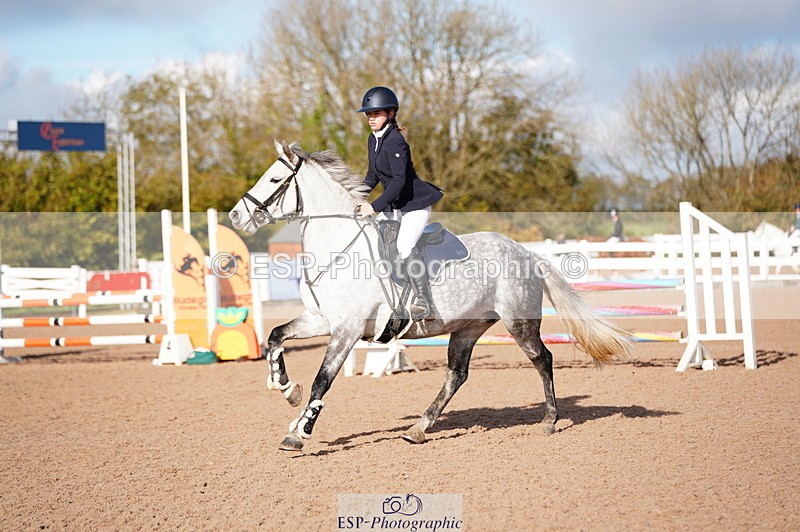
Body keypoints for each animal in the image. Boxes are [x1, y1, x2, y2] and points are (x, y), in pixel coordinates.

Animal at [229, 140, 633, 451]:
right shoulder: (320, 321)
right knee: (457, 375)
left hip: (518, 322)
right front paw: (286, 389)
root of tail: (527, 254)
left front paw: (300, 432)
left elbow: (323, 379)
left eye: (275, 179)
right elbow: (275, 337)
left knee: (542, 360)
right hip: (468, 327)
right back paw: (418, 428)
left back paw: (549, 420)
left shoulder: (346, 329)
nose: (235, 216)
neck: (339, 247)